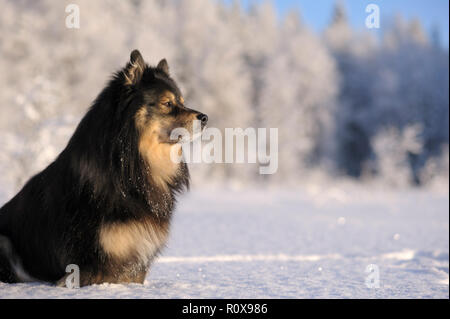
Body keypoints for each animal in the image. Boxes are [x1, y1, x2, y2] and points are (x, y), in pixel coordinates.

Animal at [0, 50, 208, 288]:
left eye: (182, 101)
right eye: (167, 103)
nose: (205, 118)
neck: (128, 172)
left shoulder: (135, 264)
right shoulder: (87, 264)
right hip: (4, 242)